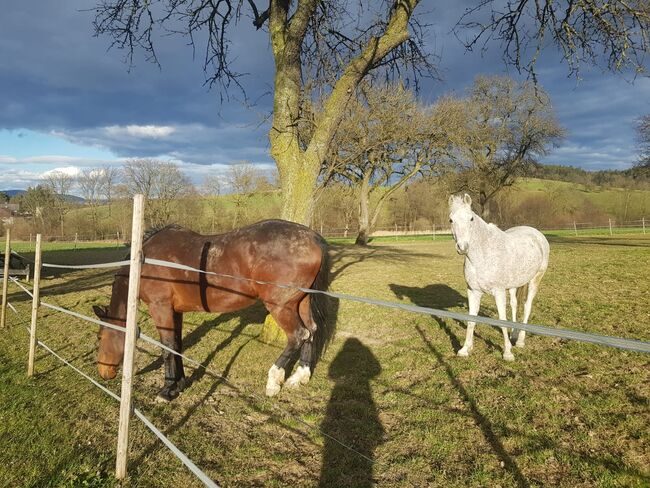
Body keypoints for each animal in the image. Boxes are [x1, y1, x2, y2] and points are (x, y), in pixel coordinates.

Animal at [93, 220, 332, 400]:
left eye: (100, 336)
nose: (103, 373)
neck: (144, 261)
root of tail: (313, 237)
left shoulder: (160, 308)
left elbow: (167, 347)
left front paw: (167, 390)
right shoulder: (175, 311)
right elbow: (177, 345)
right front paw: (180, 384)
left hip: (281, 307)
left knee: (298, 335)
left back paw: (274, 381)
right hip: (301, 302)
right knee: (311, 331)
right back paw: (299, 377)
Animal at [446, 195, 548, 362]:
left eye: (471, 218)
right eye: (451, 220)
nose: (462, 247)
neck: (483, 254)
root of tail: (536, 233)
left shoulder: (499, 292)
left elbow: (501, 320)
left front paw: (507, 353)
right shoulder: (473, 291)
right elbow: (471, 319)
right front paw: (465, 349)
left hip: (535, 280)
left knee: (527, 306)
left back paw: (520, 341)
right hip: (513, 285)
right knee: (514, 304)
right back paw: (513, 334)